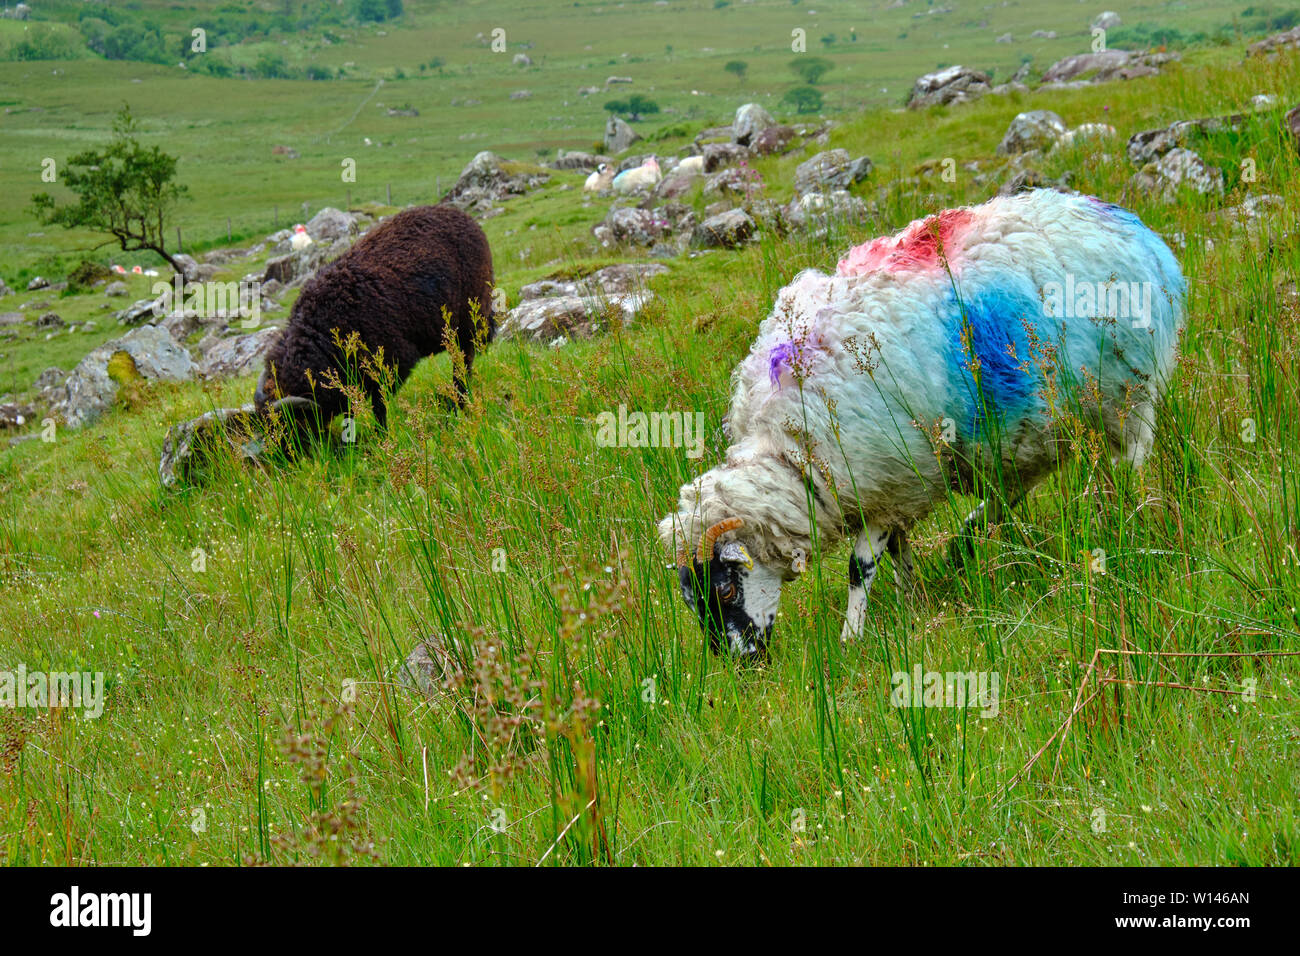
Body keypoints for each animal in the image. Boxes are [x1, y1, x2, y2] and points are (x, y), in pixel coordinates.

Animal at [255, 204, 495, 439]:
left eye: (291, 425)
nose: (282, 452)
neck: (320, 333)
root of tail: (461, 215)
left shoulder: (392, 362)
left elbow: (379, 405)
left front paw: (382, 435)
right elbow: (351, 407)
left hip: (468, 319)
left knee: (463, 360)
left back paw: (460, 401)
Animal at [658, 189, 1185, 657]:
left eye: (725, 590)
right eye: (692, 602)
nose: (741, 664)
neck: (792, 455)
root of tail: (1131, 227)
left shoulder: (886, 478)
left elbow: (859, 567)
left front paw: (852, 637)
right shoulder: (893, 487)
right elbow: (898, 550)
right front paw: (913, 598)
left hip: (1130, 391)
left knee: (1132, 459)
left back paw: (1131, 518)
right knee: (1025, 484)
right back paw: (978, 538)